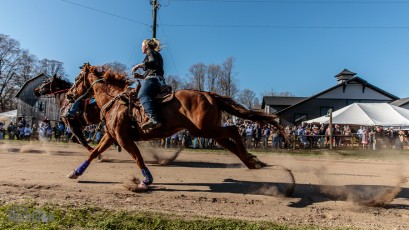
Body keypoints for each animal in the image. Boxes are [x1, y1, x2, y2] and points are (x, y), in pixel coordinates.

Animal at [65, 63, 286, 191]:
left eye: (76, 79)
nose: (68, 95)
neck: (116, 102)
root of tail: (208, 94)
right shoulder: (111, 136)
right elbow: (93, 153)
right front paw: (75, 173)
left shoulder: (123, 138)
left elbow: (138, 158)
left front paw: (146, 181)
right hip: (209, 130)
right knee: (230, 142)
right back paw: (251, 161)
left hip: (204, 130)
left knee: (233, 130)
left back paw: (251, 159)